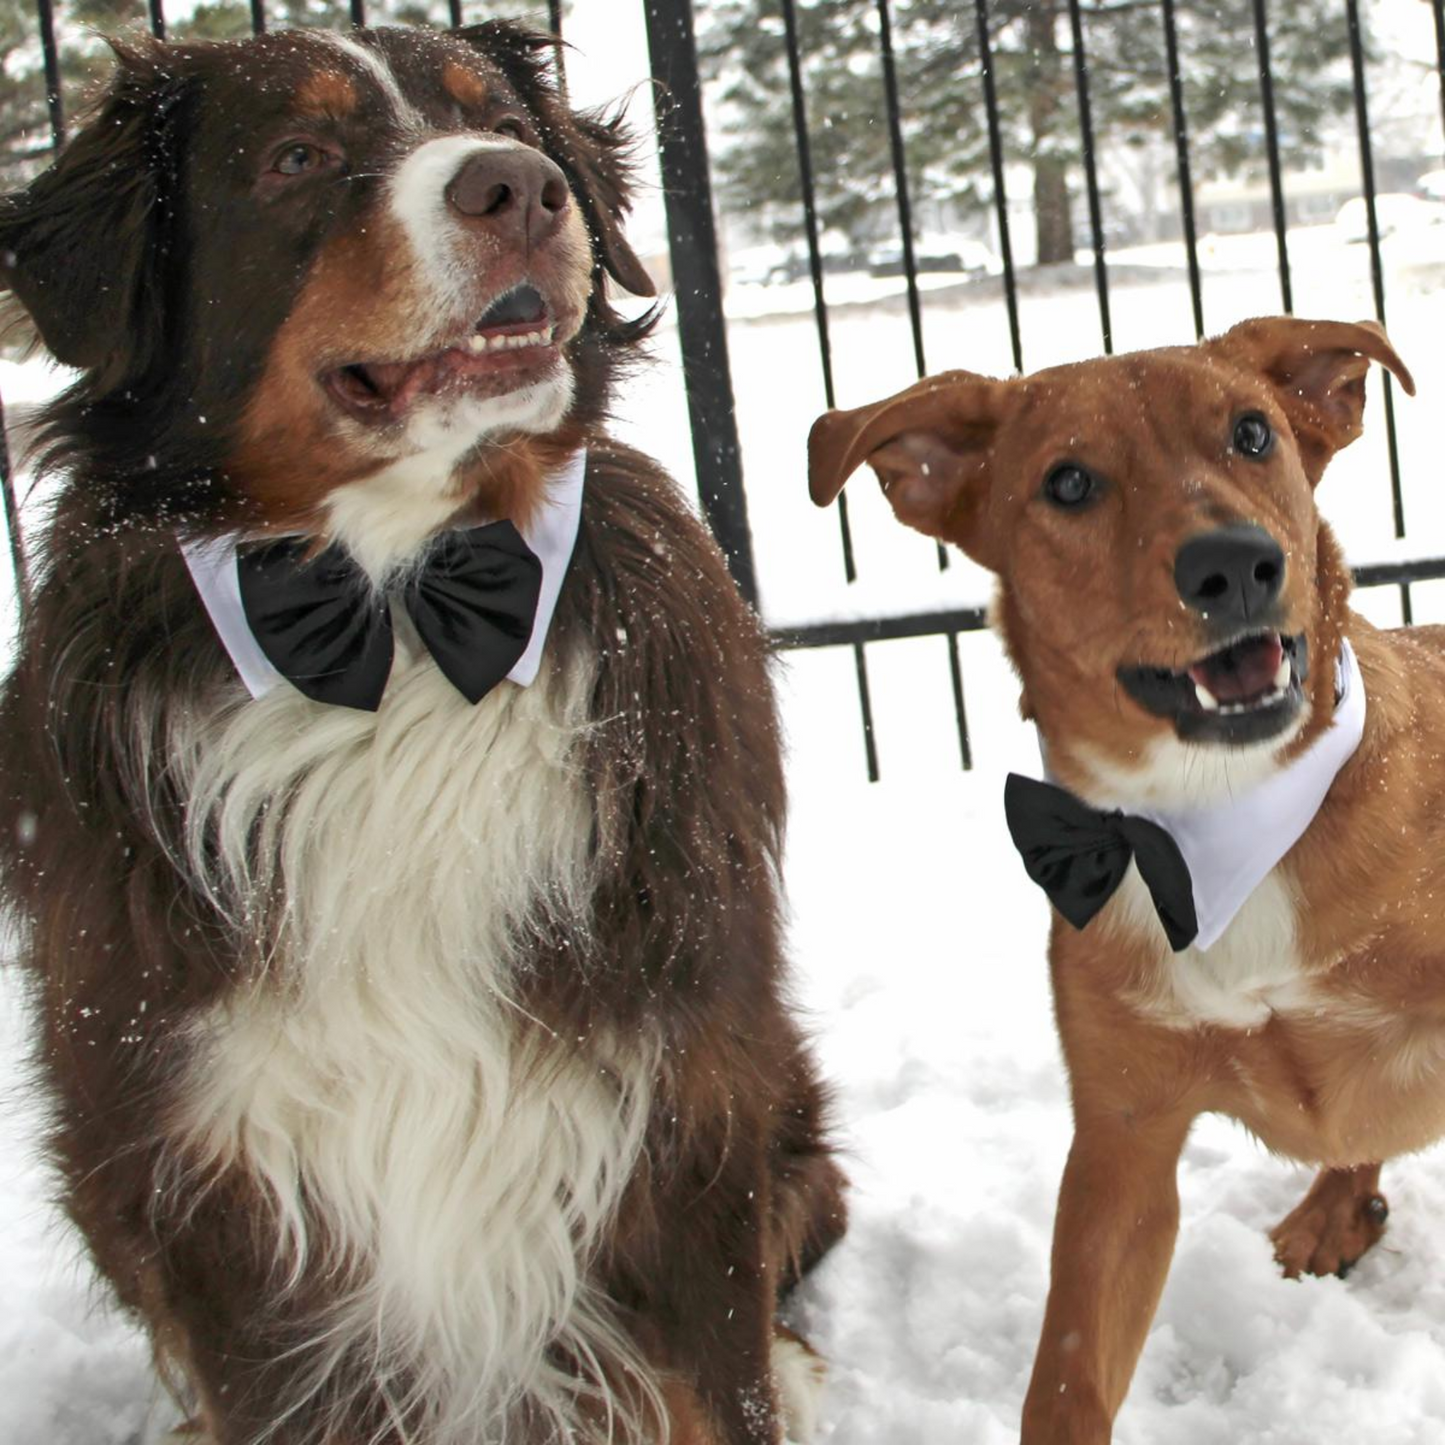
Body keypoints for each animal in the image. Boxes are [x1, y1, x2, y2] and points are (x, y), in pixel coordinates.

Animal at [0, 25, 843, 1445]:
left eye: (493, 114)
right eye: (296, 156)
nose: (520, 188)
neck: (397, 613)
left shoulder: (681, 1093)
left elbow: (721, 1375)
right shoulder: (211, 1170)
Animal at [809, 319, 1439, 1445]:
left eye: (1251, 432)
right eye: (1067, 482)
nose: (1233, 564)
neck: (1211, 822)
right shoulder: (1120, 1146)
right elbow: (1067, 1374)